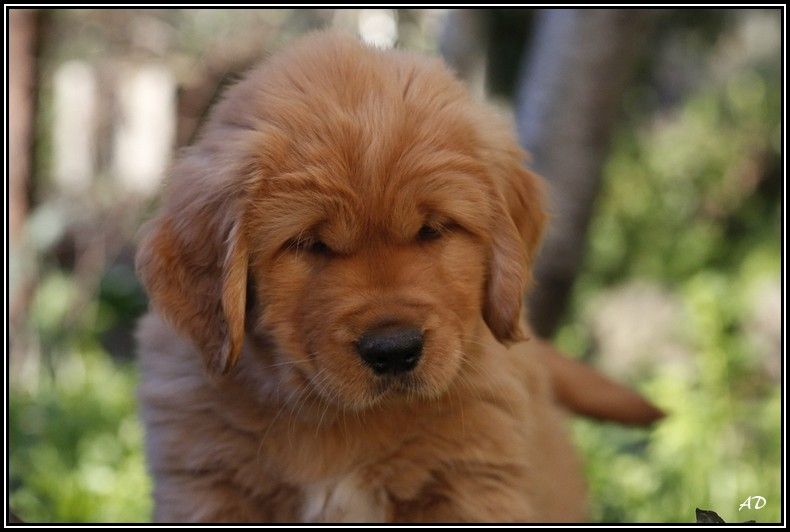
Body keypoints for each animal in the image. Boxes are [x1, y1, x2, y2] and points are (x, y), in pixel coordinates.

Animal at [136, 31, 664, 520]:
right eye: (309, 243)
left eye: (433, 230)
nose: (393, 350)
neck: (343, 425)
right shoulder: (207, 486)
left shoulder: (471, 482)